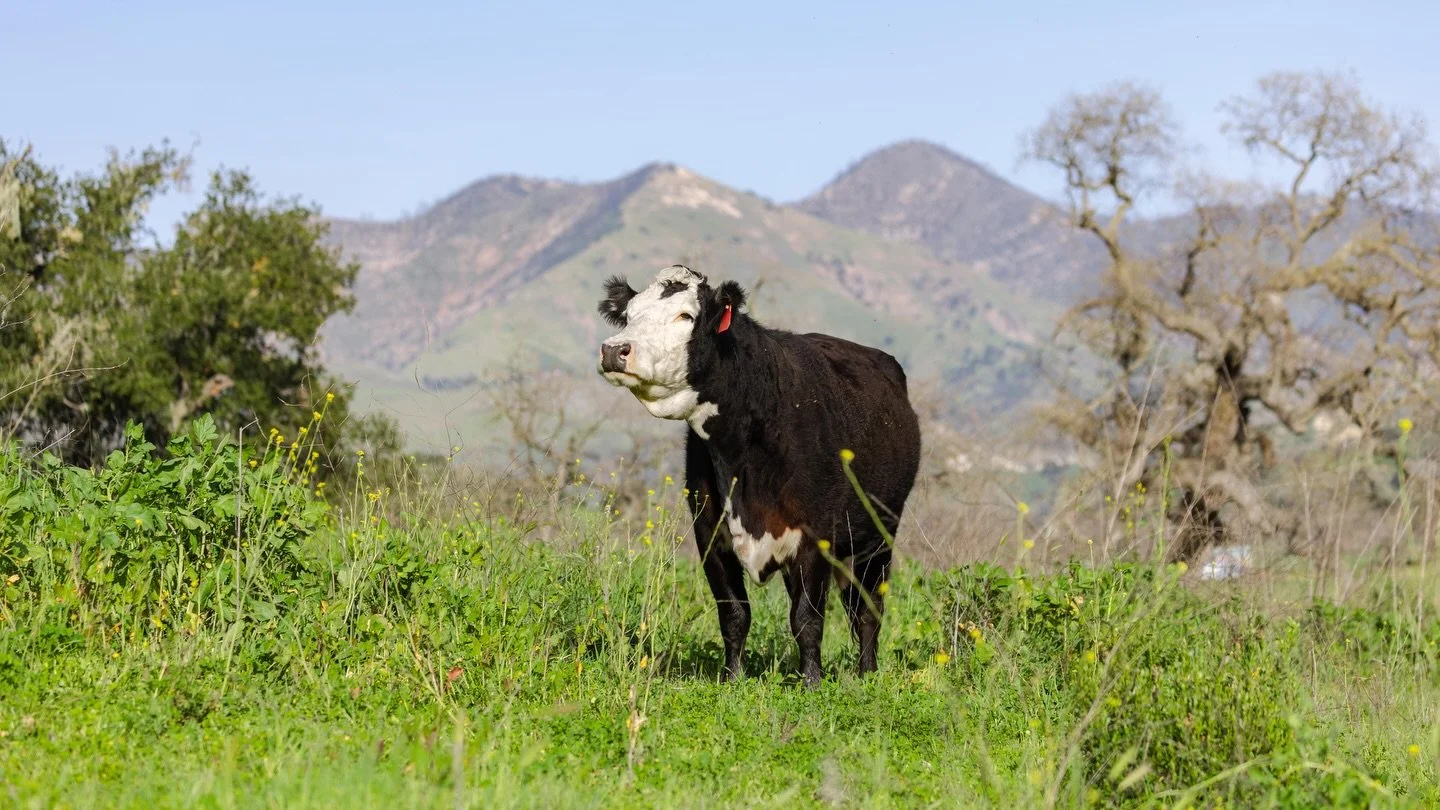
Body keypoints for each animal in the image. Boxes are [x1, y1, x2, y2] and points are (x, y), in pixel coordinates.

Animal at [595, 264, 922, 686]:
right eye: (630, 315)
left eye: (685, 315)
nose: (614, 350)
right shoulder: (710, 533)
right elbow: (734, 614)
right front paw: (732, 679)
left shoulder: (815, 536)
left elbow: (808, 619)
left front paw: (812, 683)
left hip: (879, 535)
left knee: (867, 611)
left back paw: (867, 673)